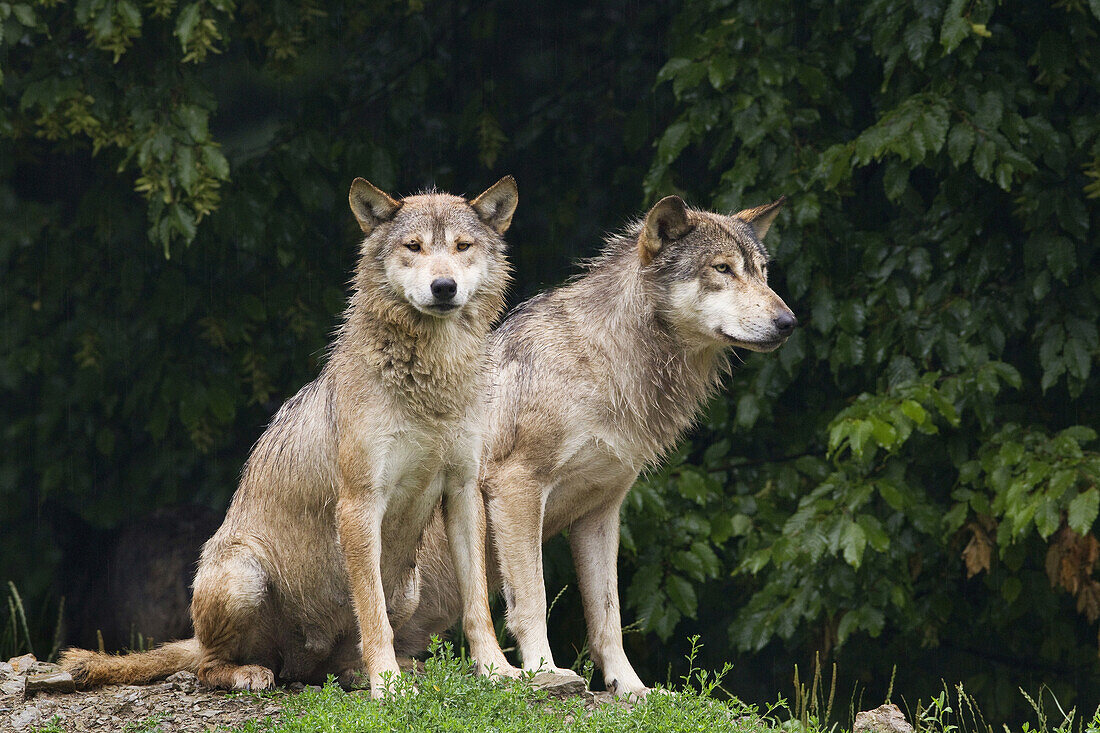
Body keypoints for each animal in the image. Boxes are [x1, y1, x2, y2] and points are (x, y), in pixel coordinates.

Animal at [61, 173, 523, 695]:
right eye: (414, 246)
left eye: (462, 246)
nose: (444, 287)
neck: (431, 379)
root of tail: (297, 661)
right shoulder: (359, 504)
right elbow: (373, 616)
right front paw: (388, 687)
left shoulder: (463, 491)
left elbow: (478, 606)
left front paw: (499, 672)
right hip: (243, 576)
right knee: (208, 665)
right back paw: (254, 673)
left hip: (408, 585)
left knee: (333, 662)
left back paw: (367, 671)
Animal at [396, 191, 800, 695]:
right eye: (723, 269)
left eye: (762, 272)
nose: (789, 322)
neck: (607, 364)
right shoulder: (516, 488)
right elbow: (532, 598)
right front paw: (545, 672)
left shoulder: (601, 511)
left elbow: (608, 616)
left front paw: (632, 689)